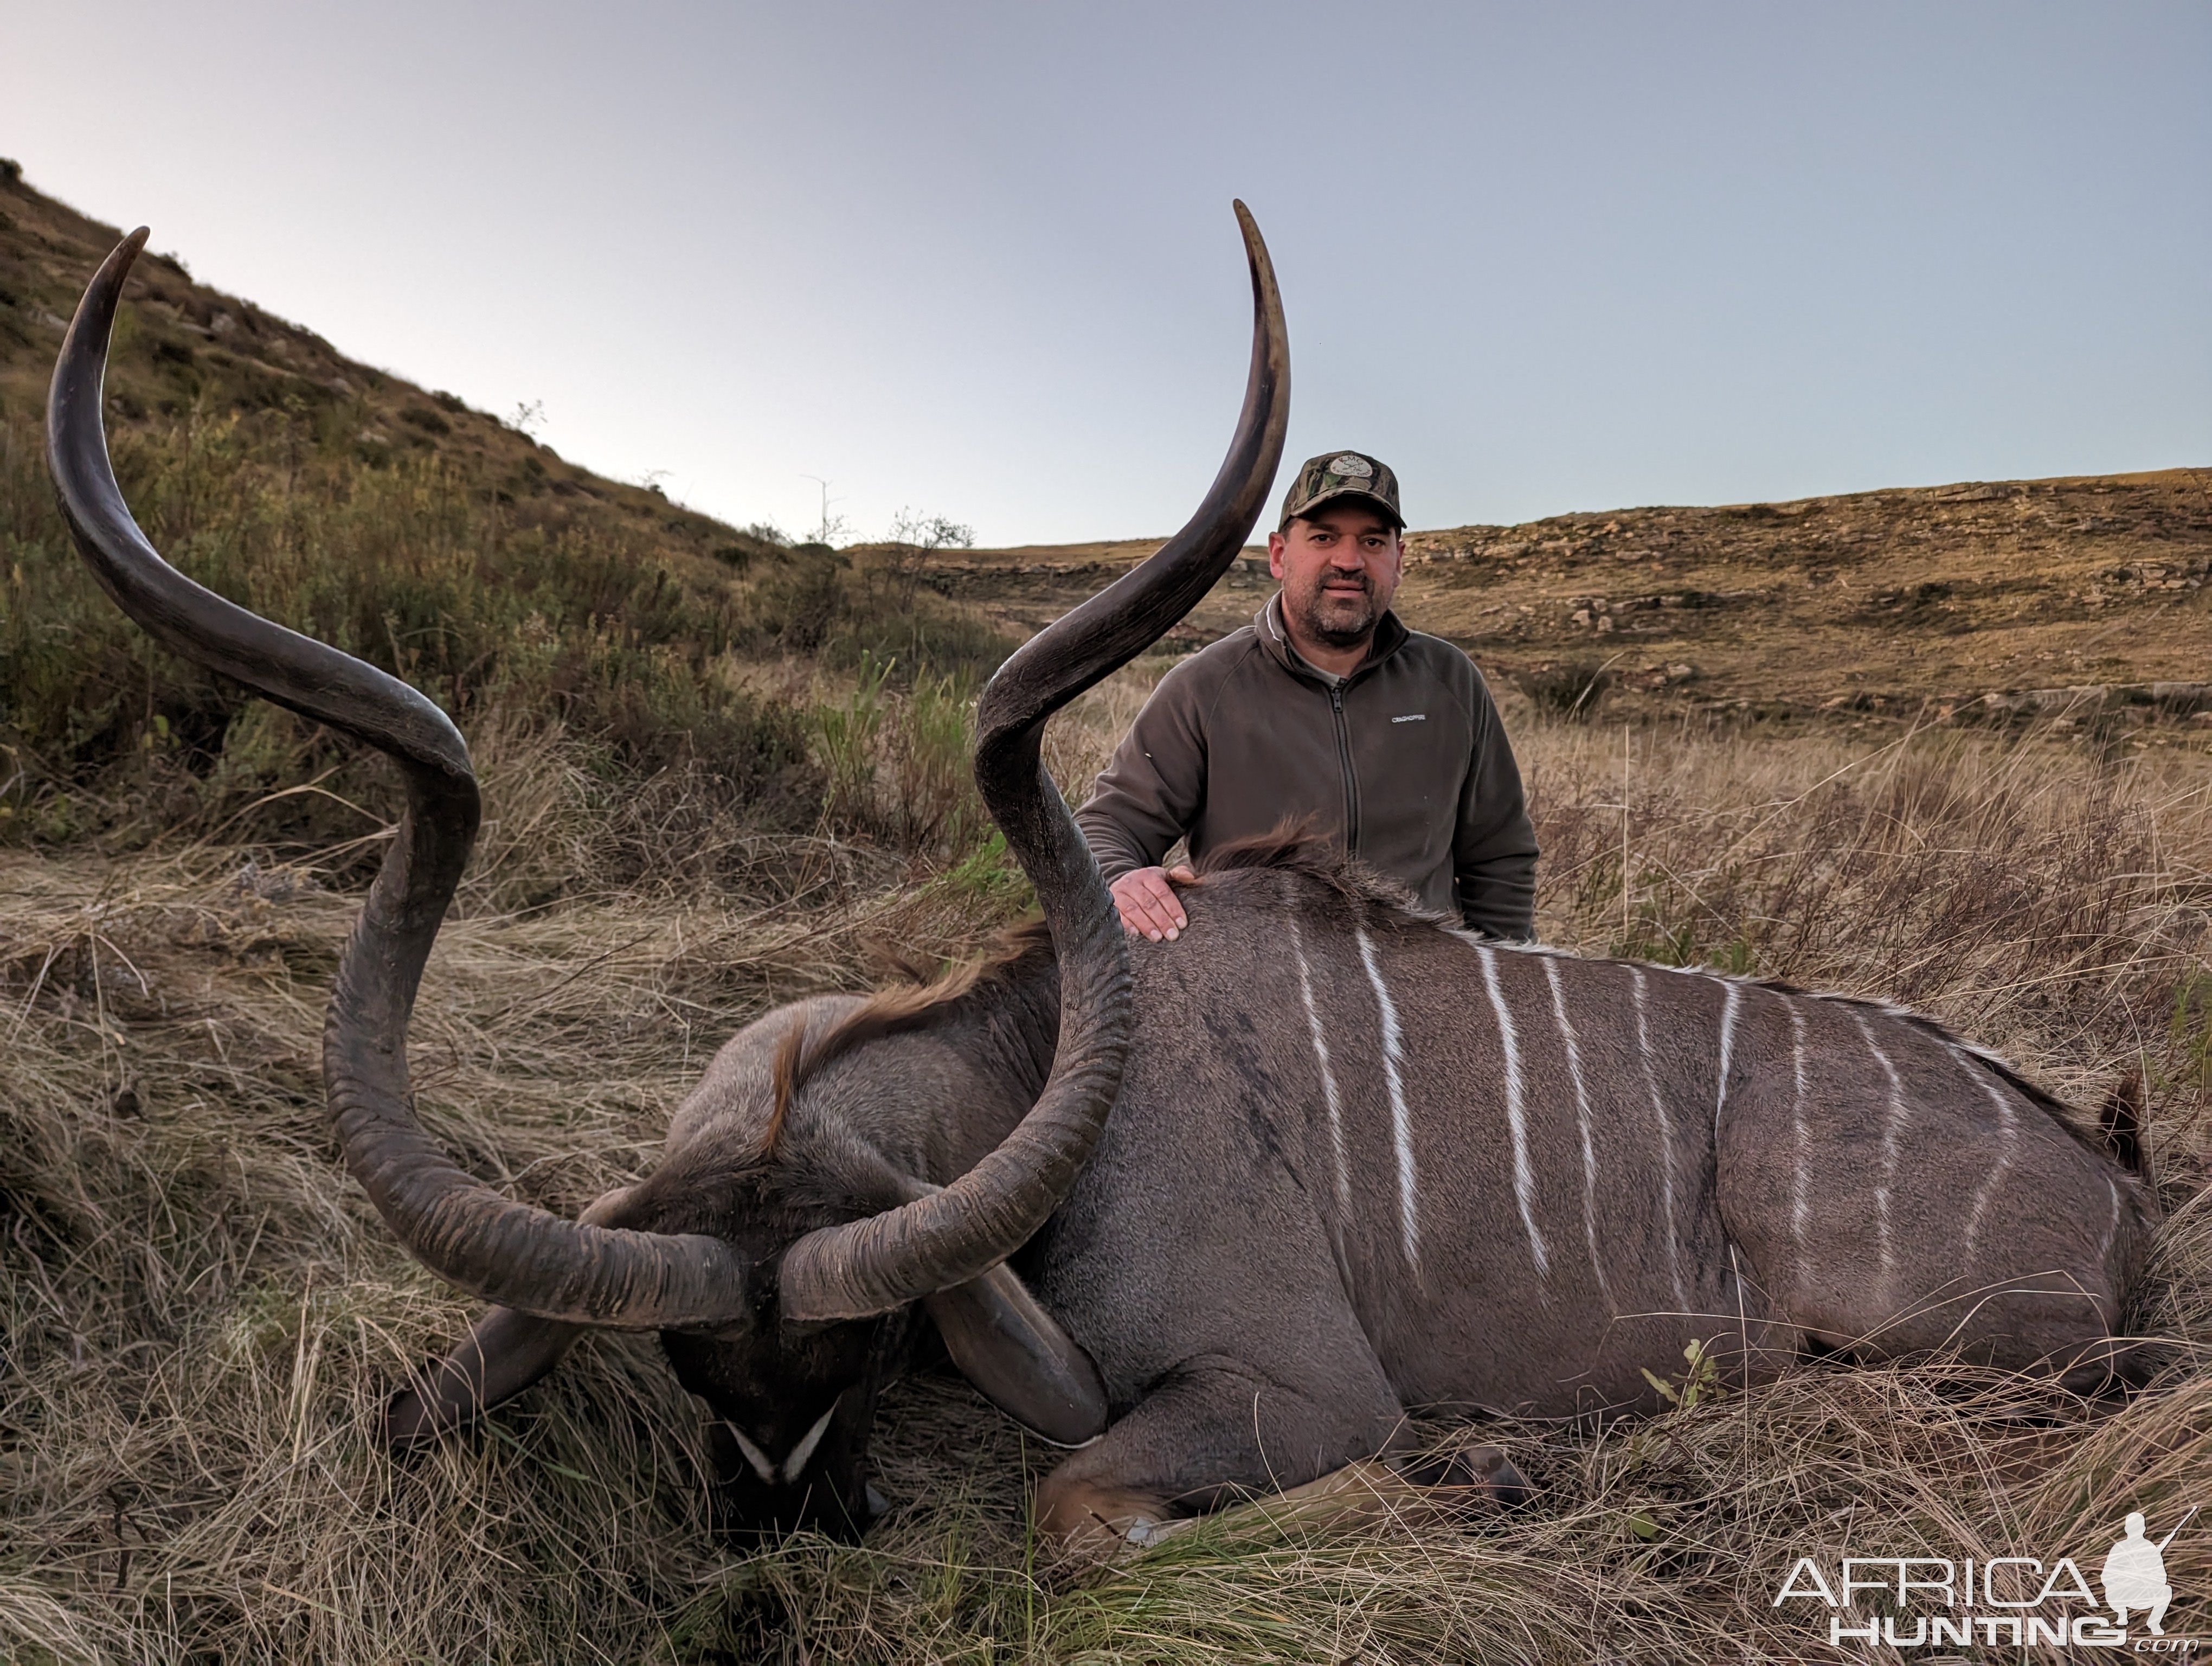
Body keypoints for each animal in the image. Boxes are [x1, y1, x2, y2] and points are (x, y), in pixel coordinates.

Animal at [52, 208, 2150, 1548]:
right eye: (691, 1370)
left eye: (873, 1341)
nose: (784, 1529)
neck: (1046, 1049)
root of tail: (2116, 1184)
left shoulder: (1293, 1391)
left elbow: (1075, 1509)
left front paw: (1461, 1476)